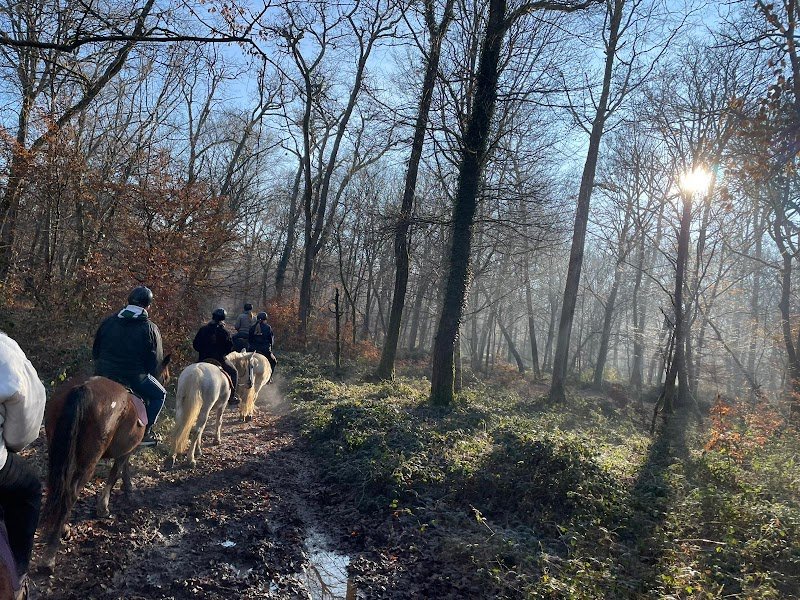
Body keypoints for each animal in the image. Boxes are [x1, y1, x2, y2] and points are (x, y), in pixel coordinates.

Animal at [39, 356, 171, 572]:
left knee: (60, 488)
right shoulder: (126, 451)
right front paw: (104, 507)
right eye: (165, 375)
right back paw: (50, 555)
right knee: (71, 492)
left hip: (59, 452)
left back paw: (61, 530)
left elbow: (123, 471)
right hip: (89, 460)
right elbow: (116, 474)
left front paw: (129, 492)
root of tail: (83, 388)